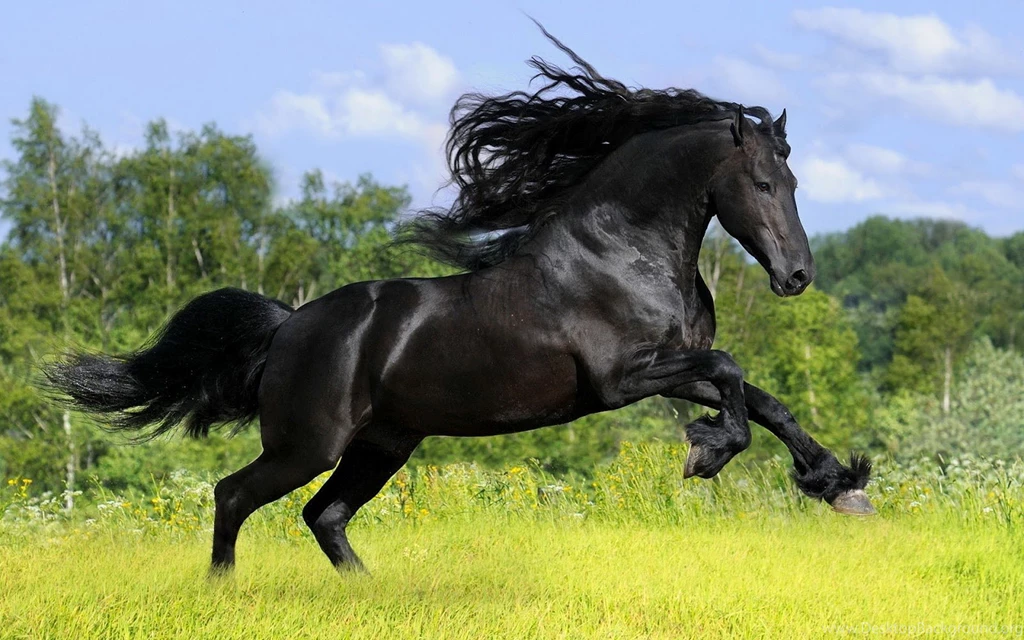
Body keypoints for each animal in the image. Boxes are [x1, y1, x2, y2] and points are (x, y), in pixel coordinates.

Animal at [45, 28, 874, 574]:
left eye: (793, 181)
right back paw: (224, 590)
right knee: (233, 495)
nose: (796, 276)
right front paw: (708, 453)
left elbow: (766, 401)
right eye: (762, 182)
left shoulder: (673, 365)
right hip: (307, 444)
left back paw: (368, 594)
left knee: (324, 515)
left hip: (382, 444)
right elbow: (734, 374)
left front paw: (840, 486)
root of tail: (287, 327)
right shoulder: (622, 379)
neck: (622, 251)